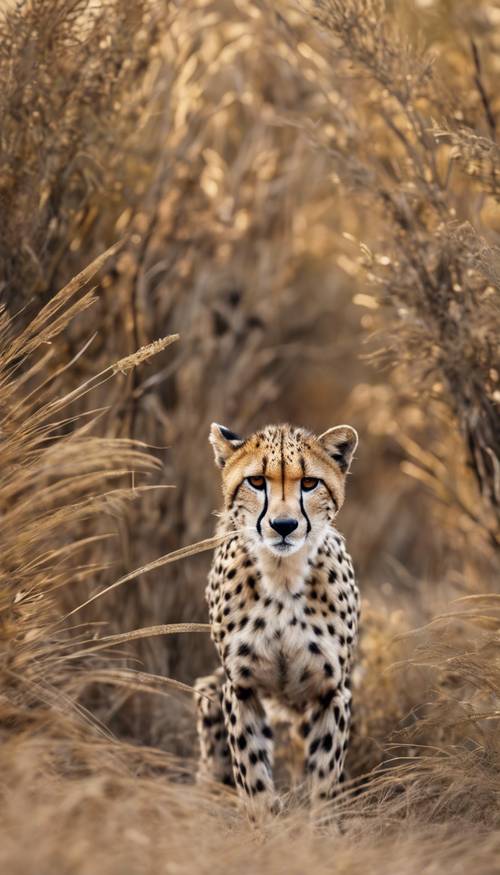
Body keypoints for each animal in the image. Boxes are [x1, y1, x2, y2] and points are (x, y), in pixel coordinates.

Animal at [192, 420, 360, 816]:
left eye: (309, 483)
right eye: (256, 481)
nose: (284, 525)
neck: (283, 577)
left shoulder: (332, 692)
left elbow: (324, 777)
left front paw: (321, 825)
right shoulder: (241, 688)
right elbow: (252, 774)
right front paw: (265, 826)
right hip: (211, 693)